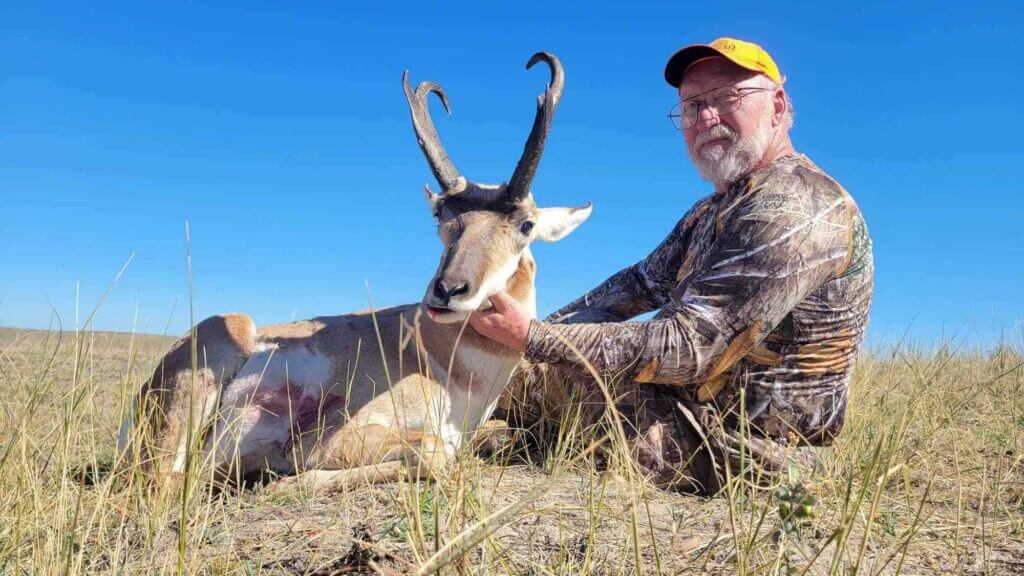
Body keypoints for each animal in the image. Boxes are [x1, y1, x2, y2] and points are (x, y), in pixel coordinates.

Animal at [117, 52, 592, 493]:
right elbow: (438, 451)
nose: (447, 290)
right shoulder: (341, 437)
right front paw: (289, 480)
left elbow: (490, 437)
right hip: (224, 340)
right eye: (440, 214)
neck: (438, 356)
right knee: (172, 479)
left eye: (527, 225)